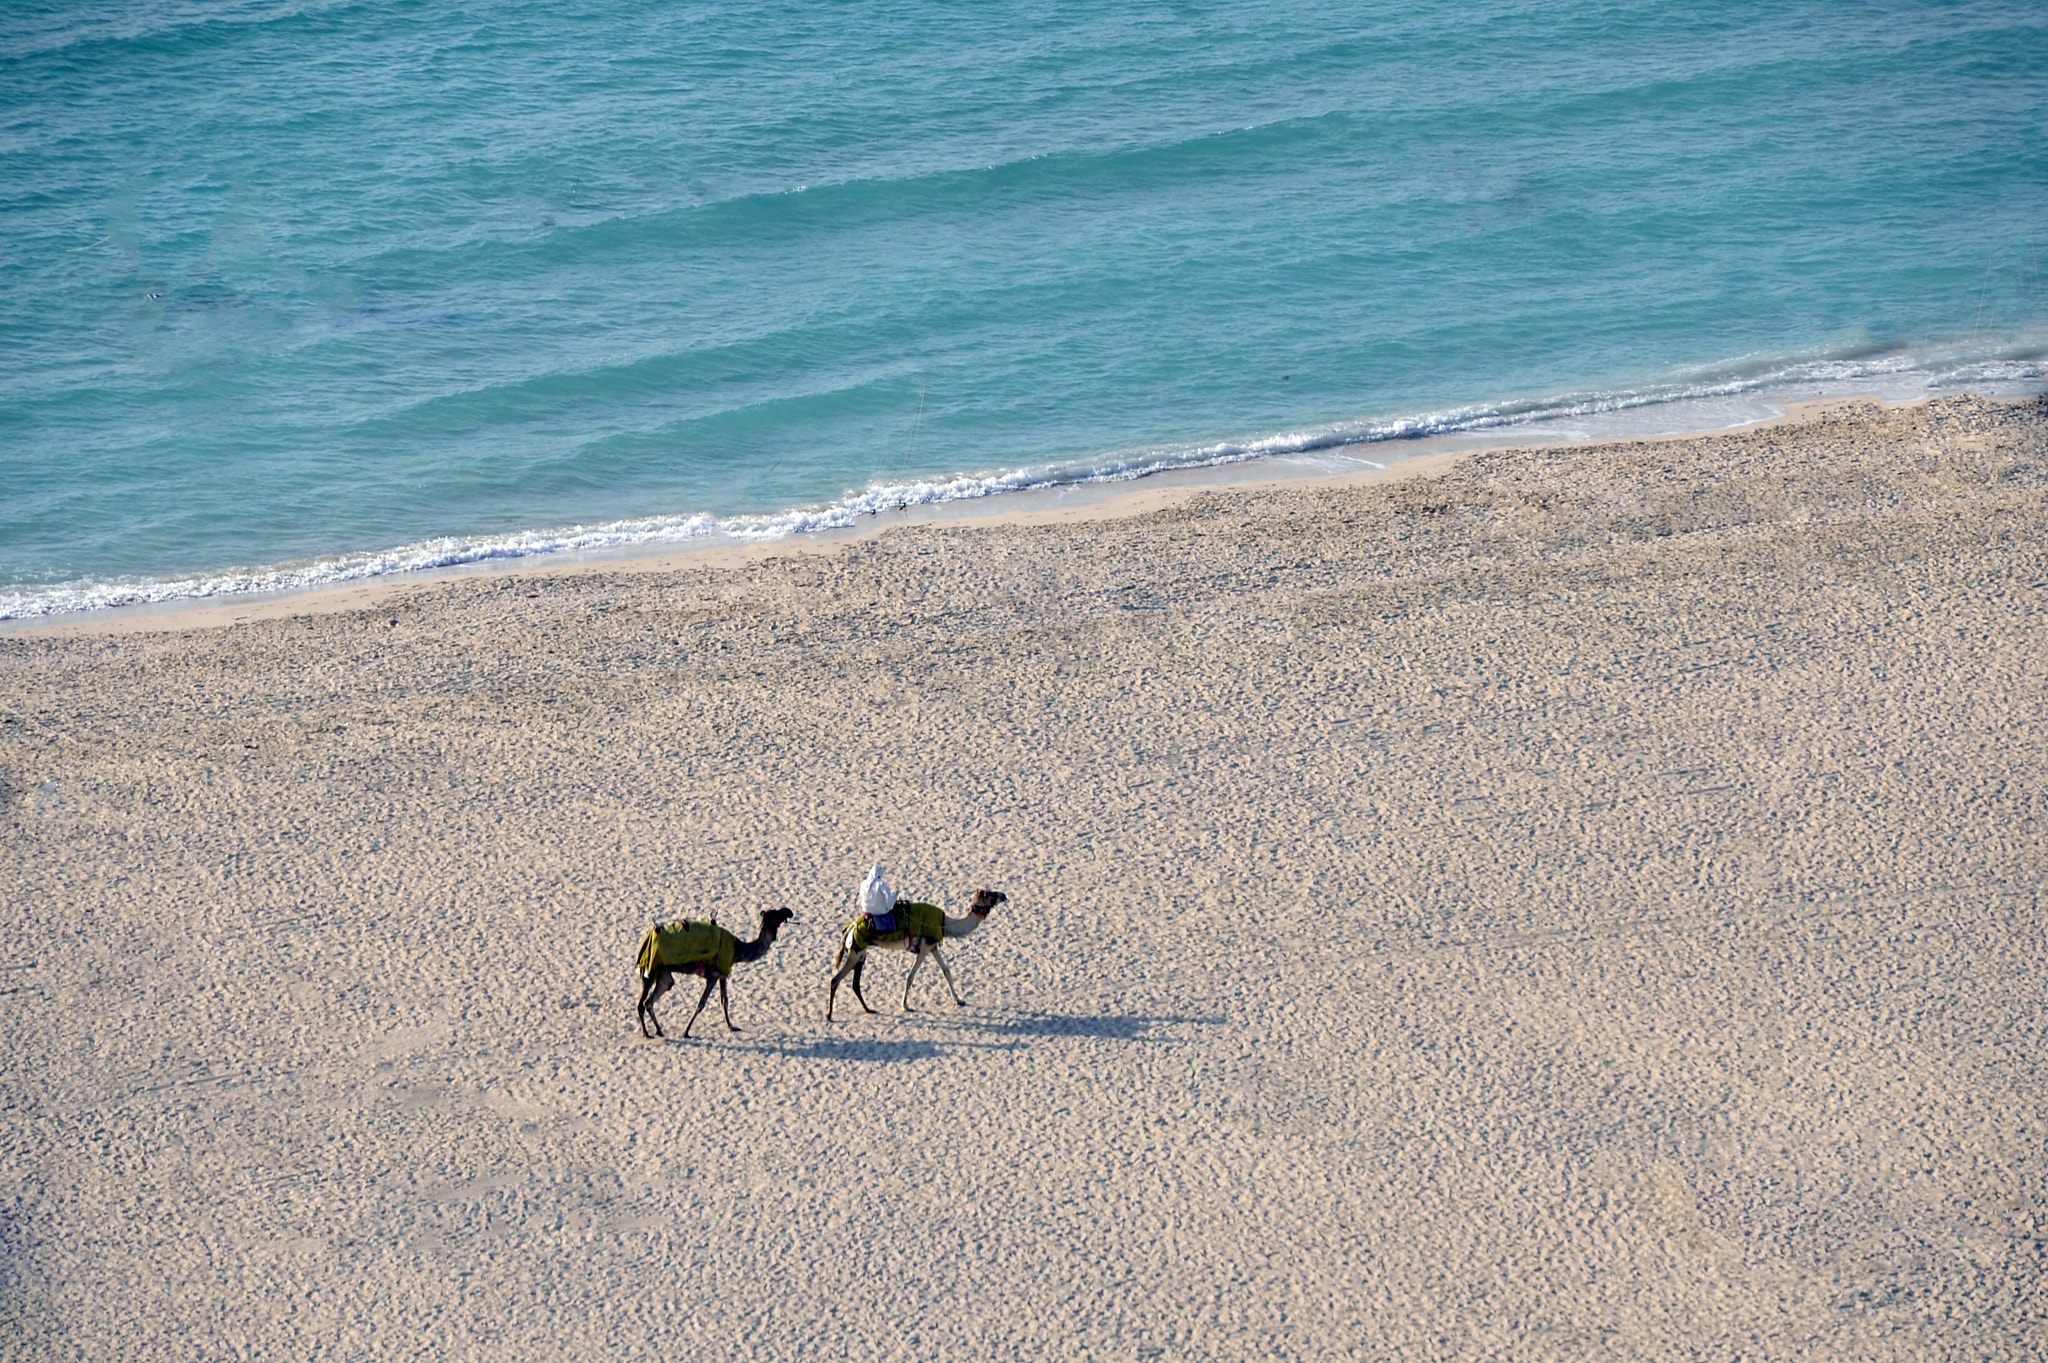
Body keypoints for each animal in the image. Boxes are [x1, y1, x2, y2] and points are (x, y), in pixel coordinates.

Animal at [634, 908, 795, 1040]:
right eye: (776, 914)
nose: (789, 912)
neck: (737, 950)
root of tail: (648, 940)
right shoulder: (713, 974)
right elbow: (701, 1003)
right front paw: (686, 1032)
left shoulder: (722, 974)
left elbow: (725, 1001)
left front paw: (731, 1027)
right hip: (658, 971)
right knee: (648, 1001)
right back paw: (655, 1031)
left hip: (658, 974)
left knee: (645, 1002)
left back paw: (650, 1032)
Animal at [826, 878, 1005, 1021]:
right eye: (991, 895)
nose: (1004, 895)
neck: (944, 924)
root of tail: (849, 929)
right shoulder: (924, 948)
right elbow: (911, 977)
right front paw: (905, 1005)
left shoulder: (933, 947)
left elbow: (946, 971)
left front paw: (959, 1000)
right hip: (855, 952)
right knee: (835, 980)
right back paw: (829, 1015)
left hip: (861, 954)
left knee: (855, 984)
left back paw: (868, 1009)